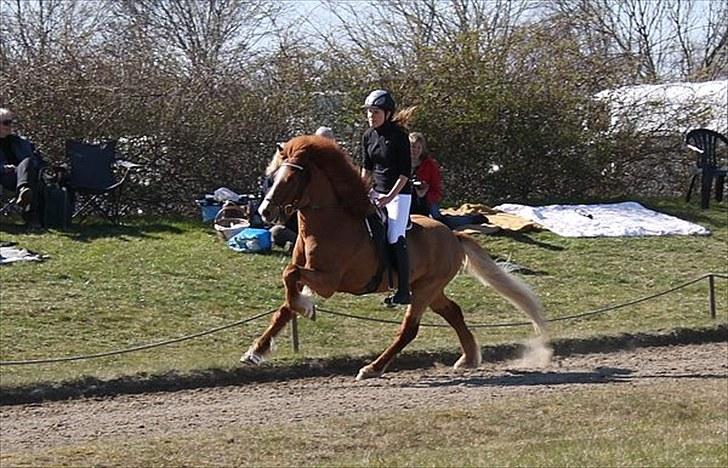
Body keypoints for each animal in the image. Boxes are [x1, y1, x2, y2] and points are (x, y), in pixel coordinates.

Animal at [243, 135, 544, 380]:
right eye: (273, 177)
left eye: (291, 179)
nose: (265, 211)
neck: (329, 222)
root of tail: (452, 235)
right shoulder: (310, 275)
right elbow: (285, 304)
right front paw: (256, 351)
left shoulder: (327, 282)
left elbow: (289, 277)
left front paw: (306, 308)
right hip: (428, 288)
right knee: (453, 312)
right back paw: (469, 358)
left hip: (424, 290)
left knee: (409, 329)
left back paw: (373, 368)